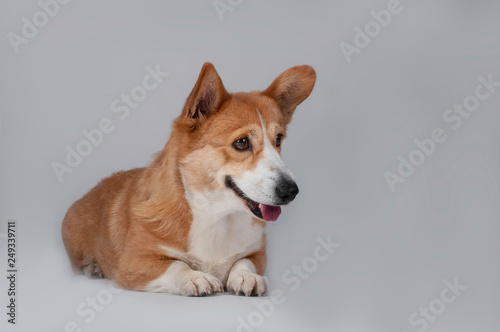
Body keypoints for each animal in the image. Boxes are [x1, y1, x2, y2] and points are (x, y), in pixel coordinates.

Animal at [60, 63, 314, 296]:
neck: (216, 216)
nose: (291, 191)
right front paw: (196, 278)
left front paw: (246, 277)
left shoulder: (257, 253)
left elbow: (244, 261)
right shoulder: (133, 262)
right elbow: (176, 266)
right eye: (242, 143)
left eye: (278, 139)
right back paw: (93, 267)